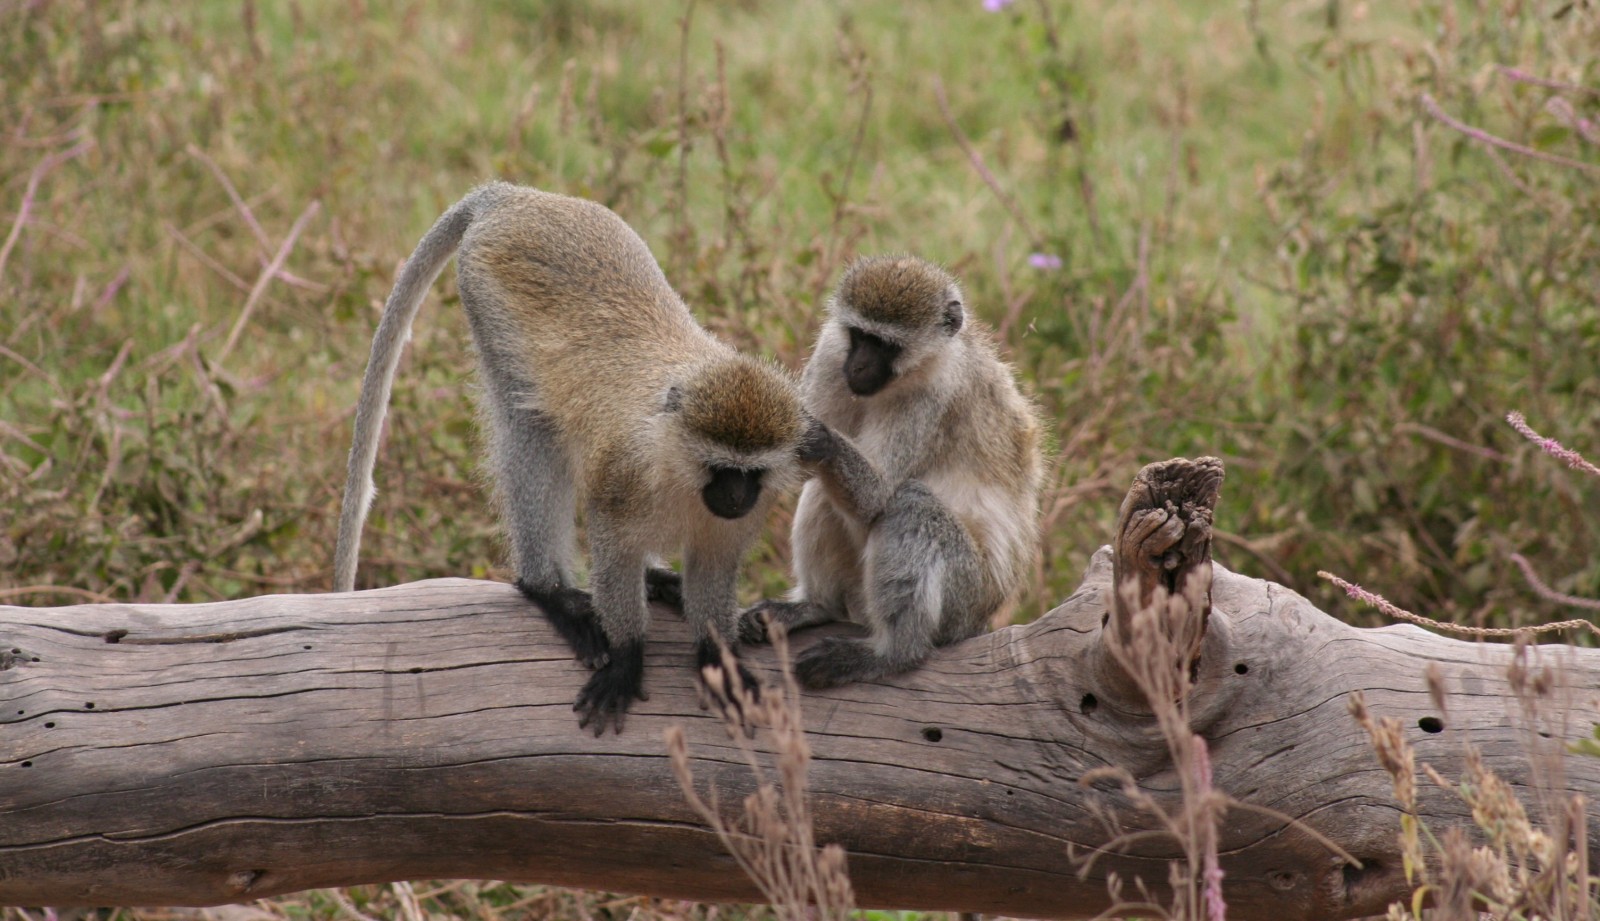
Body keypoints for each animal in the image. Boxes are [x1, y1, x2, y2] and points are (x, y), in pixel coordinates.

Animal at [337, 183, 812, 738]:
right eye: (722, 469)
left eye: (750, 474)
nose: (736, 497)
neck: (678, 468)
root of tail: (515, 196)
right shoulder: (625, 479)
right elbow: (611, 544)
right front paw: (627, 655)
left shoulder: (742, 517)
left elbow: (713, 569)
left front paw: (721, 660)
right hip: (486, 296)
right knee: (530, 427)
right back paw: (547, 590)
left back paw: (655, 579)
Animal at [742, 255, 1043, 687]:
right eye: (859, 336)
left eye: (885, 345)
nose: (858, 366)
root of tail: (984, 615)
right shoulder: (831, 354)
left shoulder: (932, 396)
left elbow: (876, 497)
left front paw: (815, 434)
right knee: (823, 492)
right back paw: (818, 607)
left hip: (965, 596)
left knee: (910, 506)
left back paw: (891, 654)